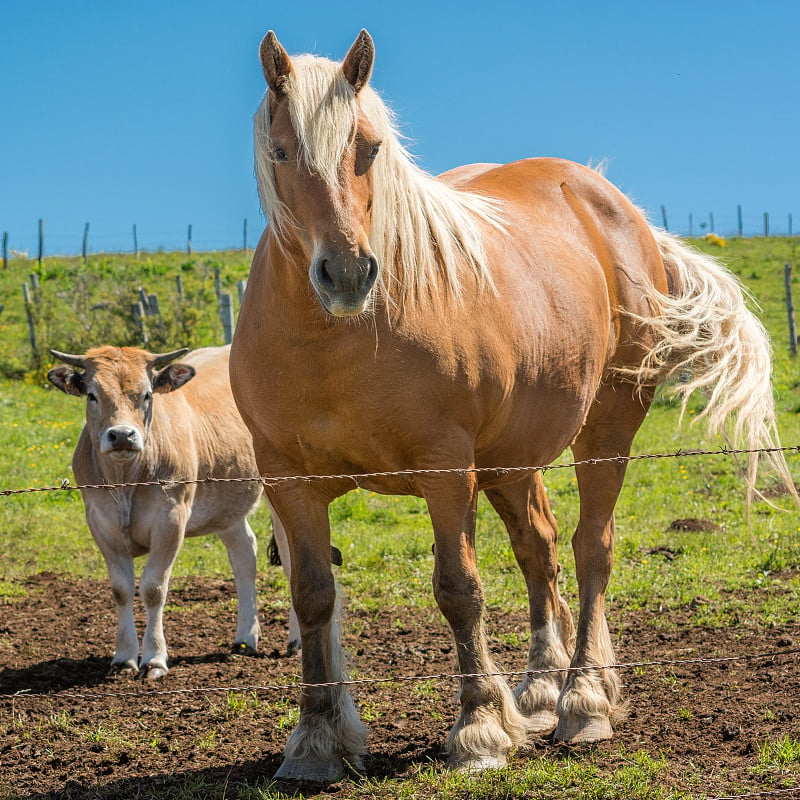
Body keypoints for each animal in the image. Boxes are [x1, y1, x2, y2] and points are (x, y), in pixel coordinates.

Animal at [230, 31, 792, 780]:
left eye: (369, 148)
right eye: (282, 150)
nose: (348, 273)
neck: (336, 340)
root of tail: (619, 208)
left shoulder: (445, 471)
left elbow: (458, 590)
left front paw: (477, 730)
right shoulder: (290, 479)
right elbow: (313, 596)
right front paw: (317, 739)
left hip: (606, 428)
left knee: (590, 549)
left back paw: (583, 700)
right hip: (511, 459)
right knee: (540, 548)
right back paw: (542, 687)